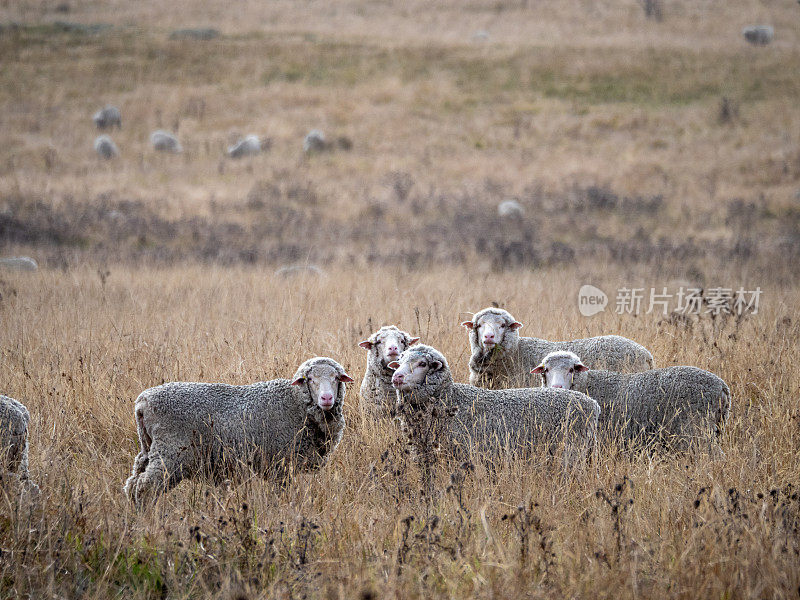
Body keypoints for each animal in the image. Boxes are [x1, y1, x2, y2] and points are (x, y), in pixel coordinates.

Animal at [122, 356, 354, 506]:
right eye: (310, 379)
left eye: (336, 378)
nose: (326, 398)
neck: (296, 402)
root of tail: (142, 402)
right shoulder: (280, 464)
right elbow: (282, 495)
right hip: (171, 453)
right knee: (144, 487)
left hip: (148, 447)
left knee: (132, 484)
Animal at [388, 344, 600, 486]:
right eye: (399, 362)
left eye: (422, 363)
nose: (396, 376)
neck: (450, 399)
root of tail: (592, 404)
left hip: (571, 452)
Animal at [532, 350, 732, 448]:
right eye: (545, 370)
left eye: (572, 369)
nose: (556, 388)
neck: (587, 383)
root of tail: (722, 386)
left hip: (696, 430)